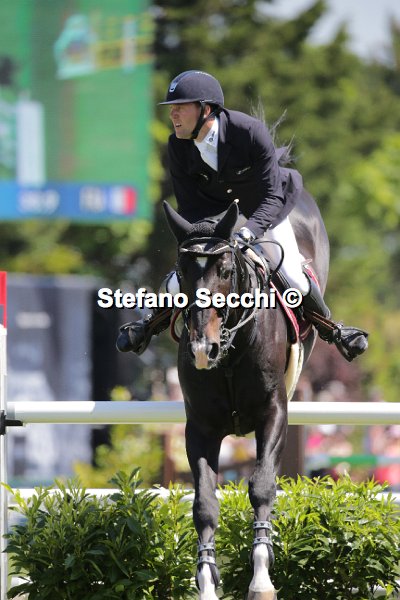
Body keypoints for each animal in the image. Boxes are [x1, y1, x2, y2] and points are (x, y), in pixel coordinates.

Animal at [163, 190, 329, 600]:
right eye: (182, 272)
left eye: (224, 270)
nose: (201, 348)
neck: (230, 350)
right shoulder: (200, 428)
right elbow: (204, 503)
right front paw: (207, 583)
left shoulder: (273, 414)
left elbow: (262, 486)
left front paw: (262, 578)